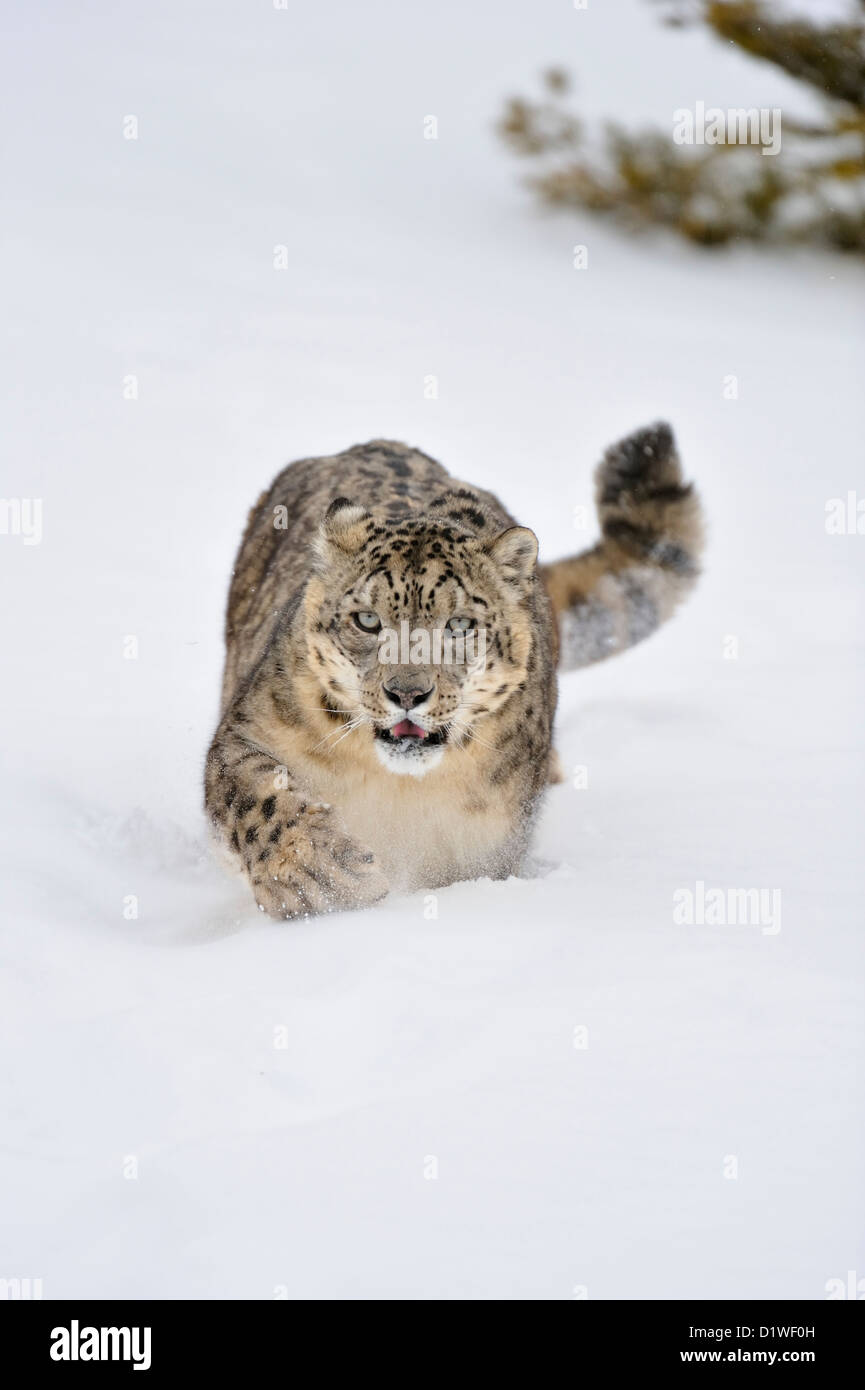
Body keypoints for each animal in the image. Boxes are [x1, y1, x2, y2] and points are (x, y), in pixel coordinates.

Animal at [204, 423, 704, 918]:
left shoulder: (485, 847)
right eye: (367, 619)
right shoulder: (248, 731)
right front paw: (320, 875)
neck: (400, 789)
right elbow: (256, 795)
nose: (407, 693)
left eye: (460, 625)